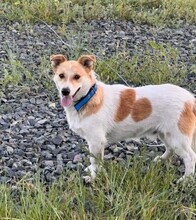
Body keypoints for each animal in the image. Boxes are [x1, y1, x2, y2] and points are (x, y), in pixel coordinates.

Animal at [50, 54, 196, 181]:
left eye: (77, 77)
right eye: (61, 75)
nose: (65, 91)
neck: (89, 97)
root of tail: (190, 99)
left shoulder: (96, 141)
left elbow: (95, 161)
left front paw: (93, 177)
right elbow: (93, 161)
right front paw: (92, 171)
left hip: (178, 137)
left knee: (190, 157)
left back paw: (186, 180)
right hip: (166, 134)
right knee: (170, 148)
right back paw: (161, 159)